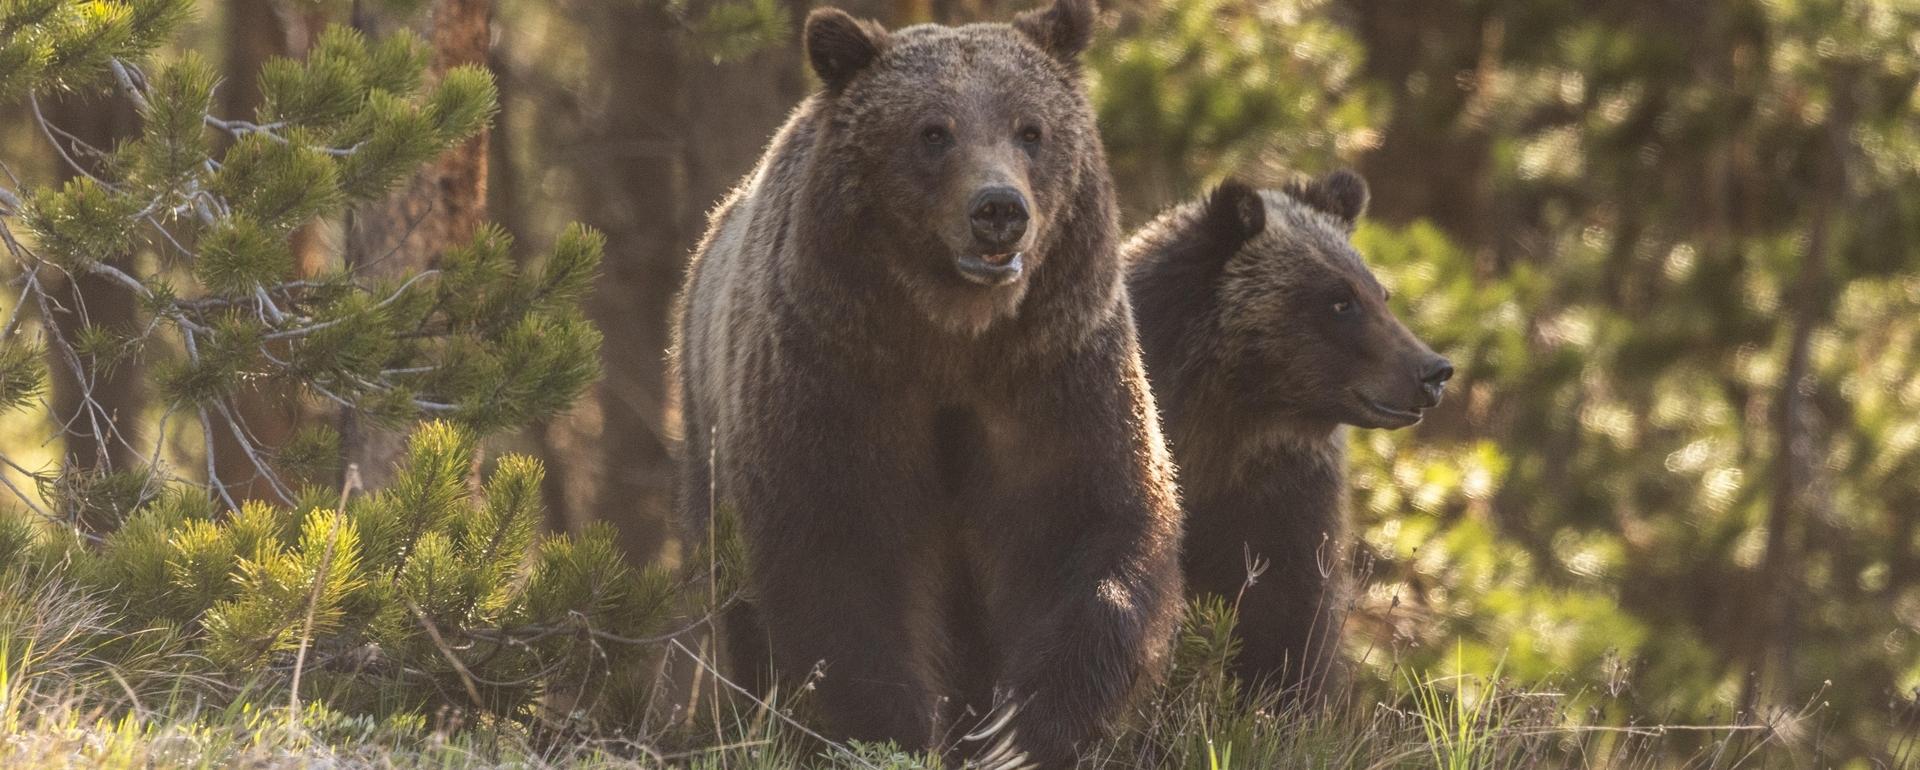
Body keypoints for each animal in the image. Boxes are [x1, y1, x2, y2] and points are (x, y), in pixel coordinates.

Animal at [675, 3, 1182, 764]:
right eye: (933, 132)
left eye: (1031, 129)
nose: (999, 209)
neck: (952, 335)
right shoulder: (837, 380)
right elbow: (844, 559)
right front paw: (898, 729)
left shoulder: (1052, 378)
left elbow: (1087, 523)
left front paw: (1017, 730)